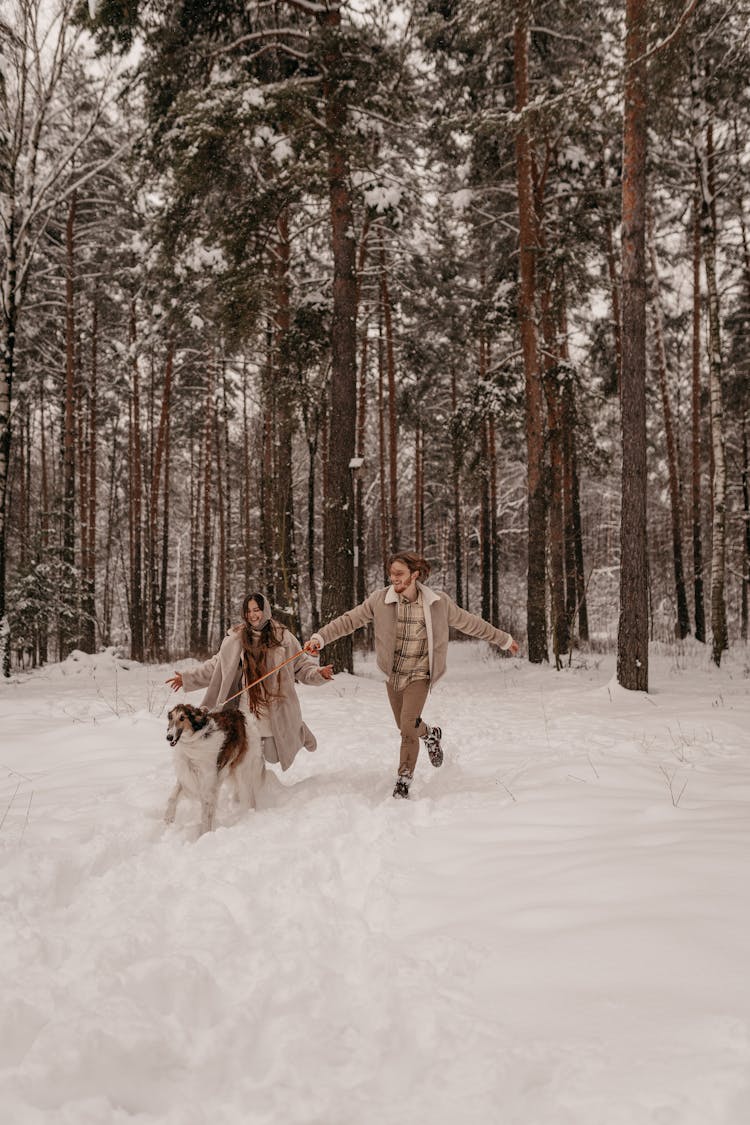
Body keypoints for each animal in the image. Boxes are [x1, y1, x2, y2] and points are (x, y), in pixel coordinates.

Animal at [165, 702, 265, 837]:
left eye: (182, 718)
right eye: (171, 717)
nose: (169, 737)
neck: (194, 740)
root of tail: (244, 716)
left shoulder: (207, 783)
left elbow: (206, 815)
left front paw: (204, 836)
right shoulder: (188, 776)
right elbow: (172, 797)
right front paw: (168, 818)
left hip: (243, 770)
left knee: (250, 797)